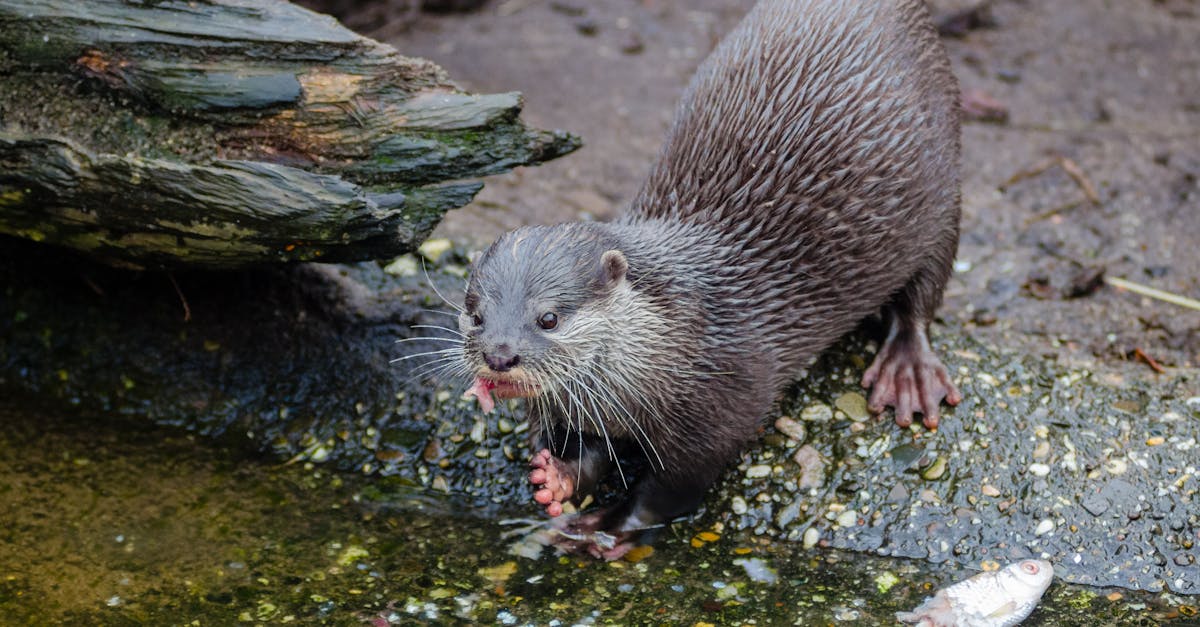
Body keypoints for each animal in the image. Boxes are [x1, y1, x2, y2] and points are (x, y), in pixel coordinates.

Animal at [458, 0, 962, 559]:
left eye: (548, 318)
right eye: (475, 314)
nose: (500, 355)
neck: (682, 341)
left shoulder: (722, 406)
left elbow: (671, 491)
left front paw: (604, 527)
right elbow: (586, 453)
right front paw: (557, 479)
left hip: (942, 191)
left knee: (923, 292)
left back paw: (908, 371)